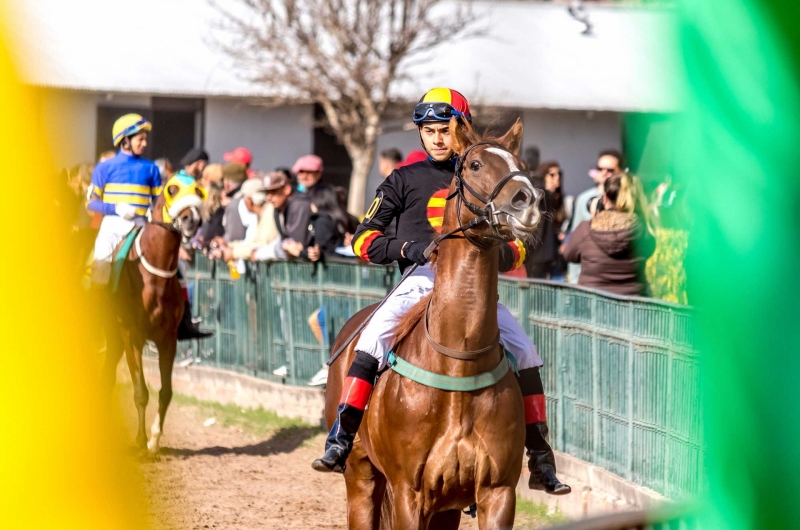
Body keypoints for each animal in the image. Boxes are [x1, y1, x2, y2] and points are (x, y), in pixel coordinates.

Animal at [101, 182, 206, 450]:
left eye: (198, 190)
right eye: (172, 189)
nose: (192, 220)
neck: (153, 279)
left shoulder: (167, 338)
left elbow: (166, 392)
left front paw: (154, 439)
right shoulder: (132, 336)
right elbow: (140, 391)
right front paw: (140, 440)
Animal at [324, 117, 544, 524]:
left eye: (520, 163)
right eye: (475, 164)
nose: (527, 201)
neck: (458, 363)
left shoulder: (497, 493)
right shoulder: (408, 494)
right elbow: (365, 233)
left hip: (447, 508)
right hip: (361, 479)